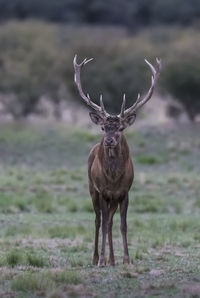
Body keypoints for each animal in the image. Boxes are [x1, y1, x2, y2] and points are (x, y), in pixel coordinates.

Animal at [72, 54, 162, 266]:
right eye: (104, 127)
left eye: (121, 127)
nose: (109, 141)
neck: (113, 179)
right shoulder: (103, 191)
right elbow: (104, 224)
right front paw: (101, 260)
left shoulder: (125, 192)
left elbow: (123, 225)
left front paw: (126, 259)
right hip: (92, 189)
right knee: (99, 220)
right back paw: (97, 257)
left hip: (113, 199)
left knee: (111, 221)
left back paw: (113, 260)